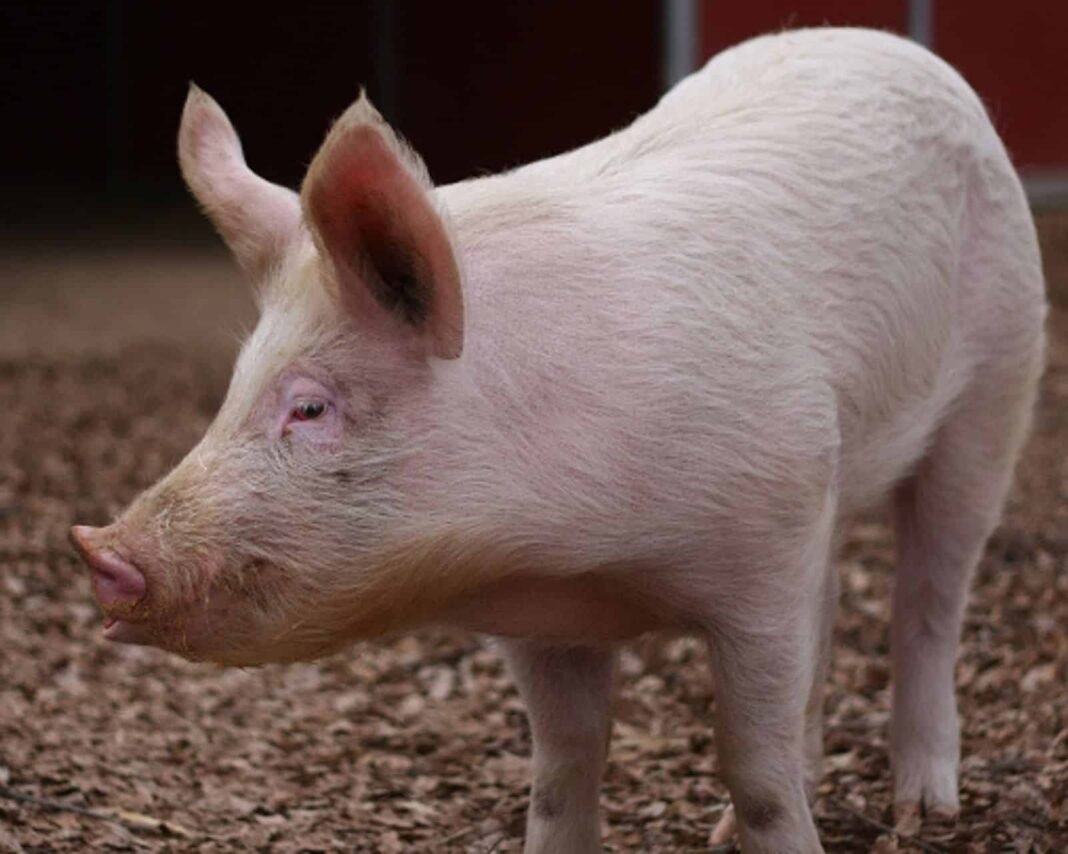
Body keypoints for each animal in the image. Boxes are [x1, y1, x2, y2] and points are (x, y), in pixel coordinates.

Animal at [70, 27, 1046, 853]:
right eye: (233, 390)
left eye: (309, 409)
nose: (102, 549)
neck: (583, 558)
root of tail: (889, 43)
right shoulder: (547, 619)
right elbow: (563, 767)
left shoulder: (765, 552)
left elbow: (755, 767)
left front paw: (772, 826)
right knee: (839, 603)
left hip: (997, 389)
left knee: (930, 600)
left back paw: (924, 810)